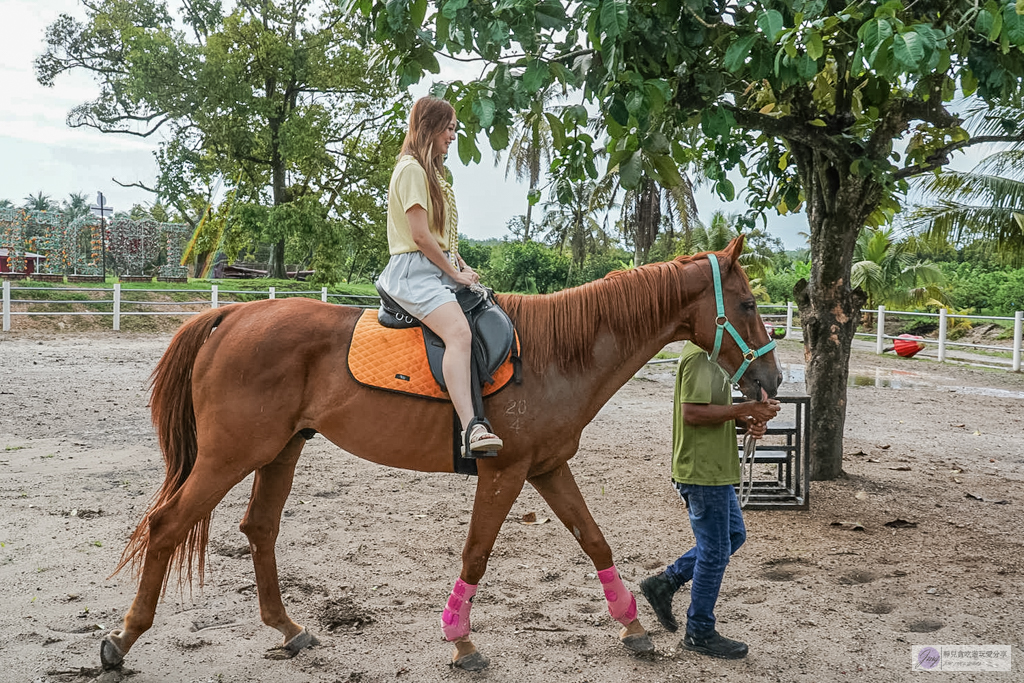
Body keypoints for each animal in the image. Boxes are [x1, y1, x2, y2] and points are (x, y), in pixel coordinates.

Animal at [99, 236, 781, 671]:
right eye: (748, 305)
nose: (771, 382)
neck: (556, 354)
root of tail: (232, 316)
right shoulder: (504, 471)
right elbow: (477, 552)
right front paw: (461, 642)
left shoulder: (548, 468)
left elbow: (595, 542)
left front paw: (634, 626)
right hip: (229, 456)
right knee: (166, 526)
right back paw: (122, 640)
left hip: (279, 451)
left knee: (258, 529)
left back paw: (288, 631)